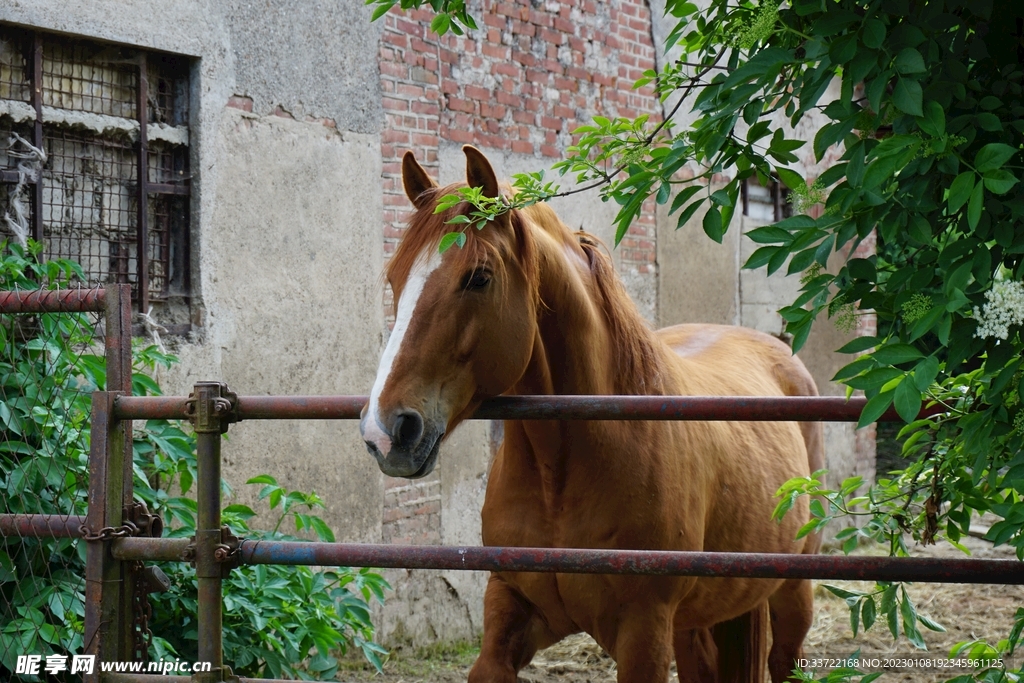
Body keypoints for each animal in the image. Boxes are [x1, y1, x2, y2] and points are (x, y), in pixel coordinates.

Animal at [359, 145, 824, 683]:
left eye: (478, 277)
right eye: (395, 278)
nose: (386, 431)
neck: (561, 473)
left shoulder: (644, 632)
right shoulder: (510, 604)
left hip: (792, 590)